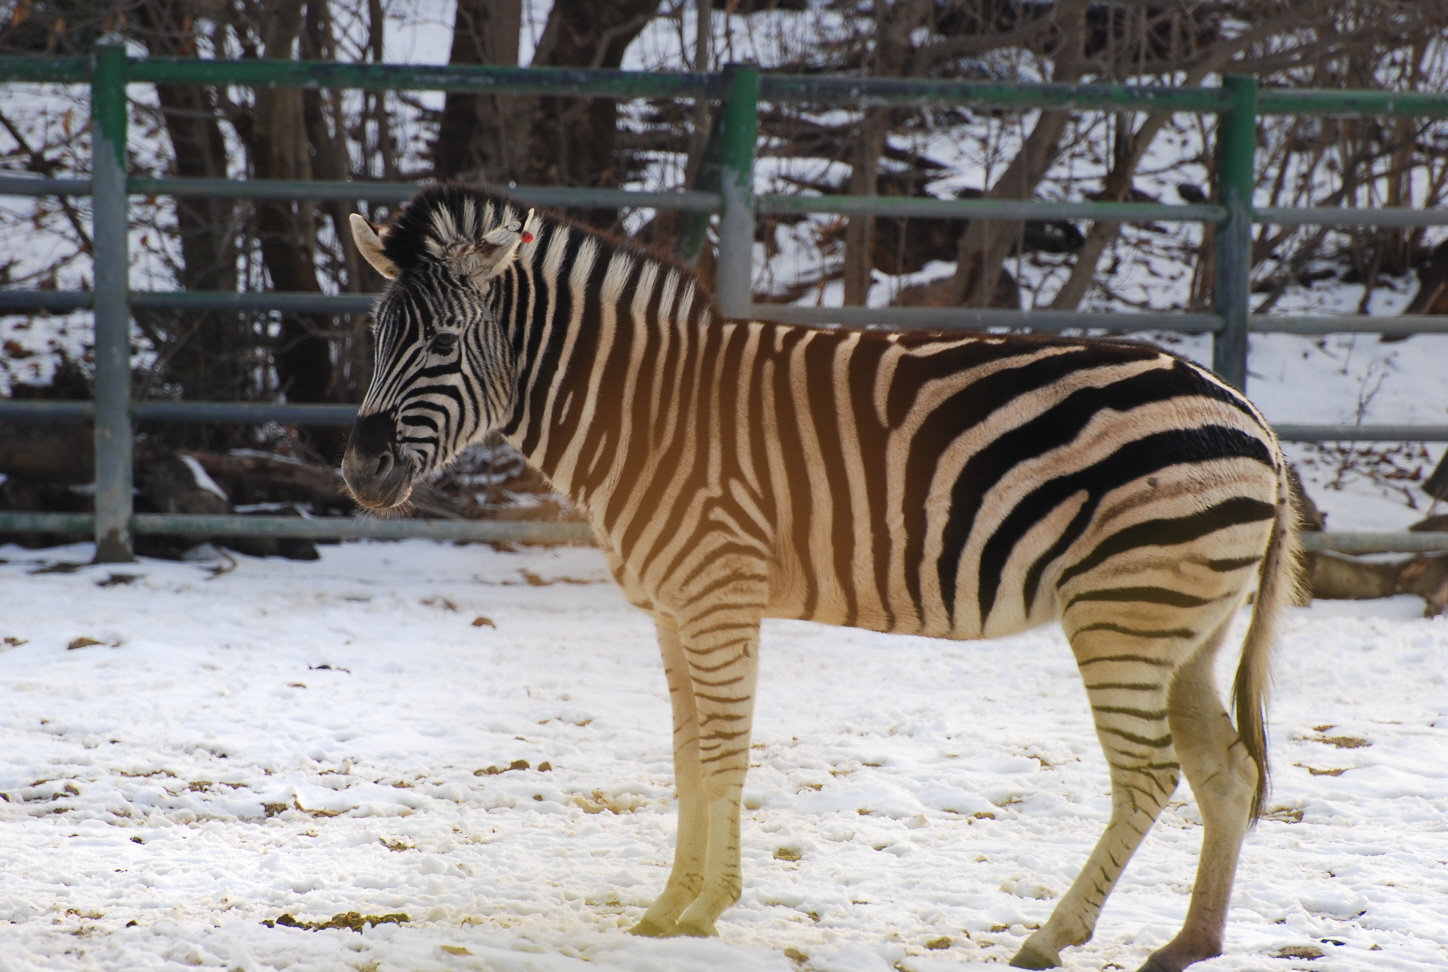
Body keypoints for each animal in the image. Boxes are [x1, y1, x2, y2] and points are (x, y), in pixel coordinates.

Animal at [341, 184, 1303, 972]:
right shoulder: (671, 610)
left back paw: (1051, 936)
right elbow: (687, 758)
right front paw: (664, 910)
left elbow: (723, 755)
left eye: (443, 341)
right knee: (1226, 772)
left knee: (1149, 775)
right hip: (1185, 626)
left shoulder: (718, 595)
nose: (358, 471)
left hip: (1125, 612)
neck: (646, 412)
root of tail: (1251, 413)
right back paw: (1188, 944)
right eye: (376, 338)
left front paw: (704, 910)